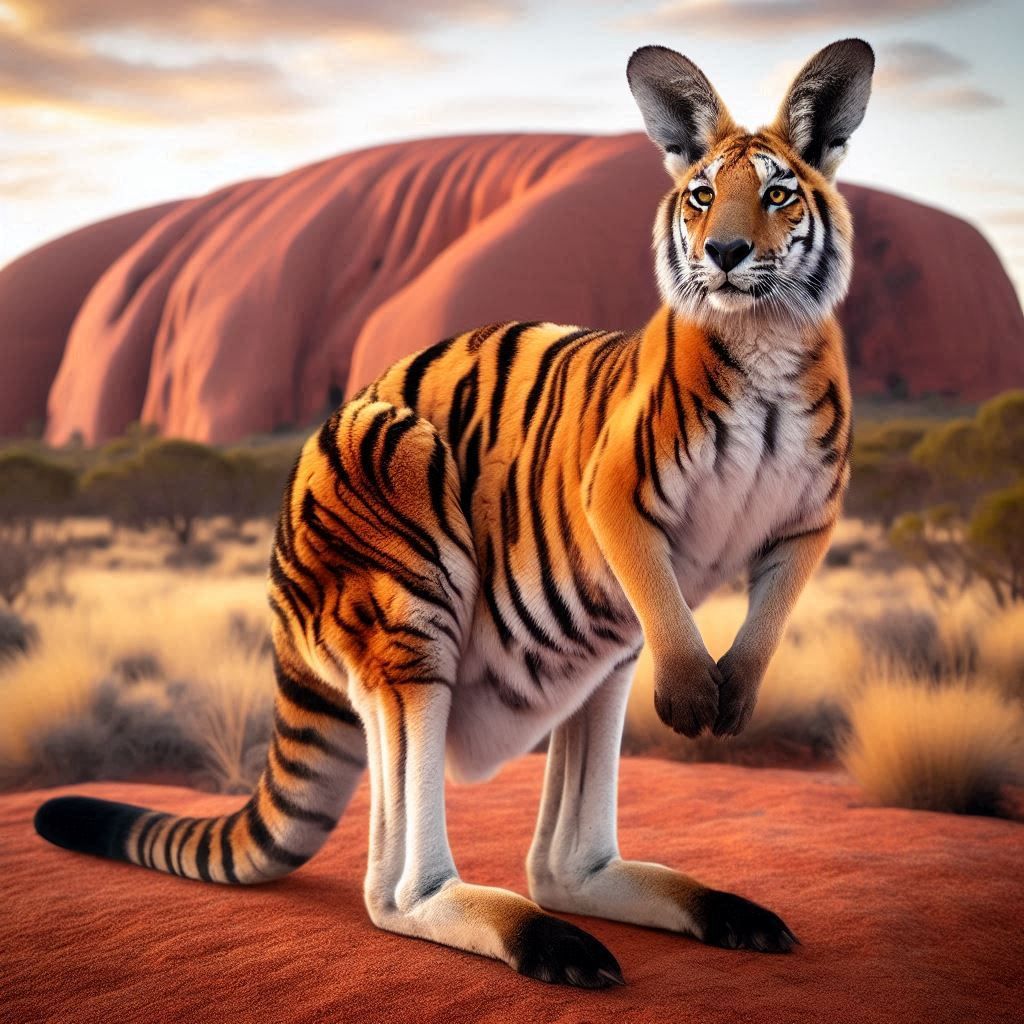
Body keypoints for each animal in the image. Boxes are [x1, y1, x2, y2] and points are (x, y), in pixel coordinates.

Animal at [35, 39, 873, 989]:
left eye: (778, 193)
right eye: (701, 194)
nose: (724, 252)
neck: (763, 340)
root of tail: (280, 586)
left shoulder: (810, 521)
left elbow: (771, 611)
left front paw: (730, 699)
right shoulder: (614, 493)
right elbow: (668, 593)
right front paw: (696, 696)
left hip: (605, 648)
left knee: (566, 862)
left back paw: (716, 911)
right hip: (406, 573)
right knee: (398, 887)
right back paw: (546, 943)